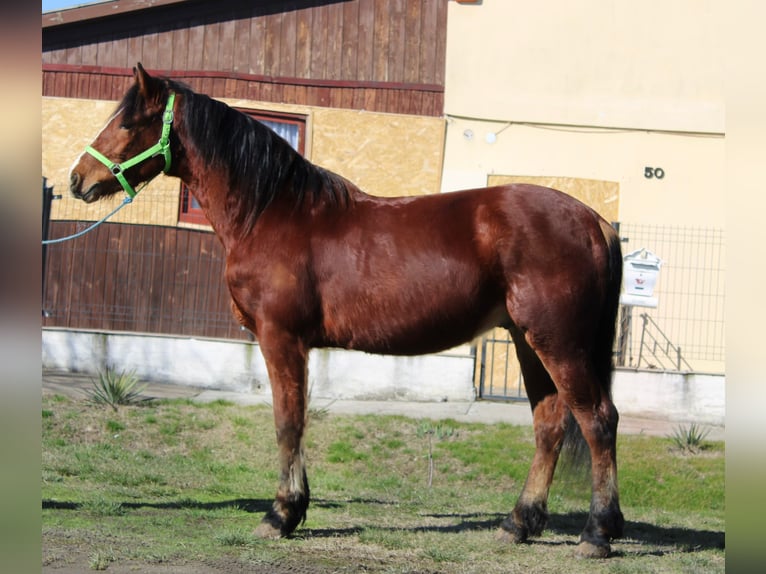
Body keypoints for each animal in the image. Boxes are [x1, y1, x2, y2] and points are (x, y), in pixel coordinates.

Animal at [68, 63, 625, 558]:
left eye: (127, 123)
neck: (273, 212)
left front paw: (281, 515)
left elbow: (288, 421)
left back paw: (597, 533)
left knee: (598, 420)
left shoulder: (281, 337)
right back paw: (519, 524)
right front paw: (293, 510)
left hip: (557, 343)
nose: (77, 179)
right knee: (549, 425)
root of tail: (594, 220)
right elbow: (295, 420)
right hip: (528, 341)